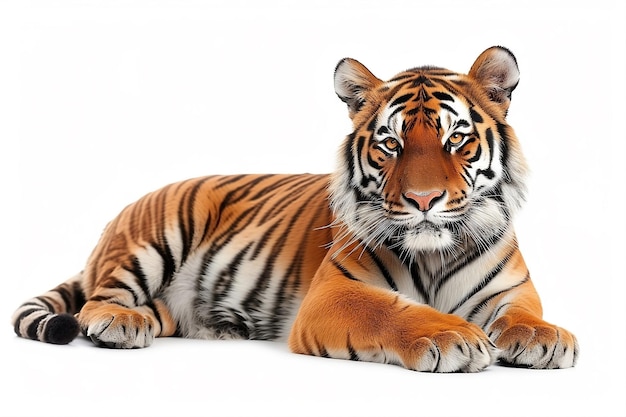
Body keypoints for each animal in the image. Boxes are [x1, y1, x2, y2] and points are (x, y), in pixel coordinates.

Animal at [12, 45, 576, 370]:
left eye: (455, 139)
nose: (422, 200)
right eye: (390, 144)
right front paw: (450, 335)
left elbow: (526, 314)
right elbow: (391, 311)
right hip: (157, 234)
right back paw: (119, 322)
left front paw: (545, 338)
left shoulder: (512, 290)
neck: (434, 256)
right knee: (94, 302)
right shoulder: (332, 294)